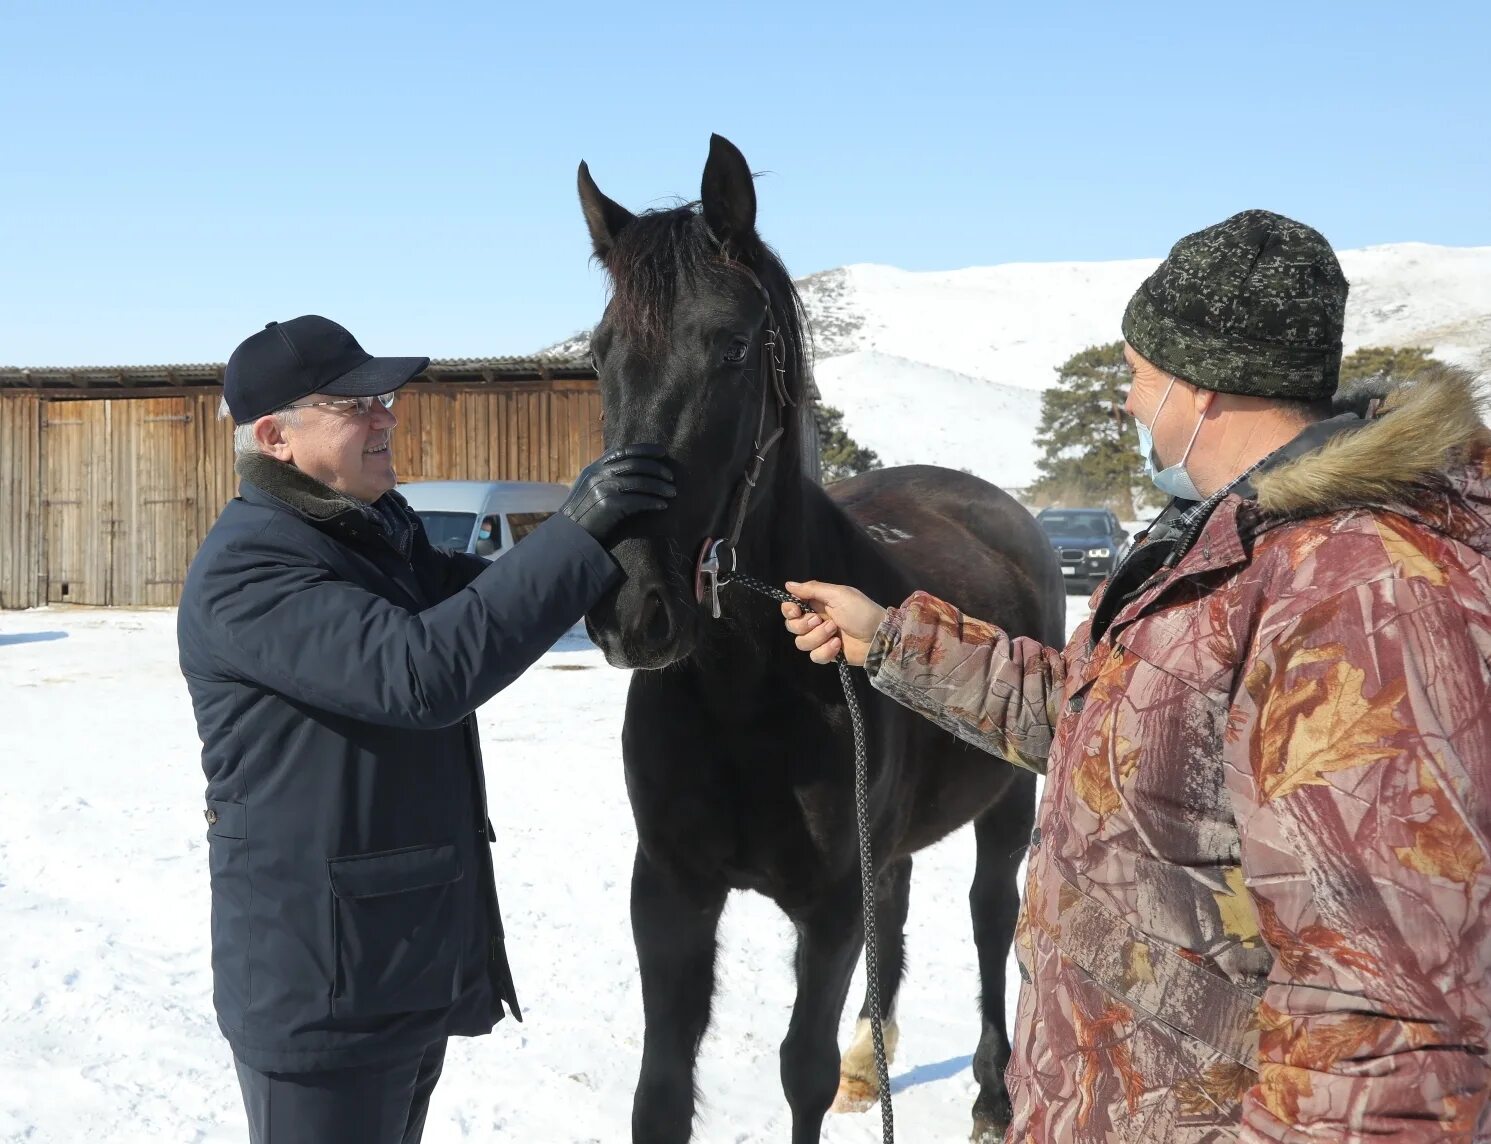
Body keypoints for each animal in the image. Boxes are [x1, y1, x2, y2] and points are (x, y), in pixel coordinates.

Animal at [575, 136, 1067, 1144]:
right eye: (600, 355)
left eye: (729, 346)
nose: (630, 606)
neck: (745, 693)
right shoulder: (671, 893)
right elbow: (659, 1091)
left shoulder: (831, 905)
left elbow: (796, 1070)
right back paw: (868, 1062)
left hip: (1007, 804)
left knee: (987, 918)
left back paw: (990, 1093)